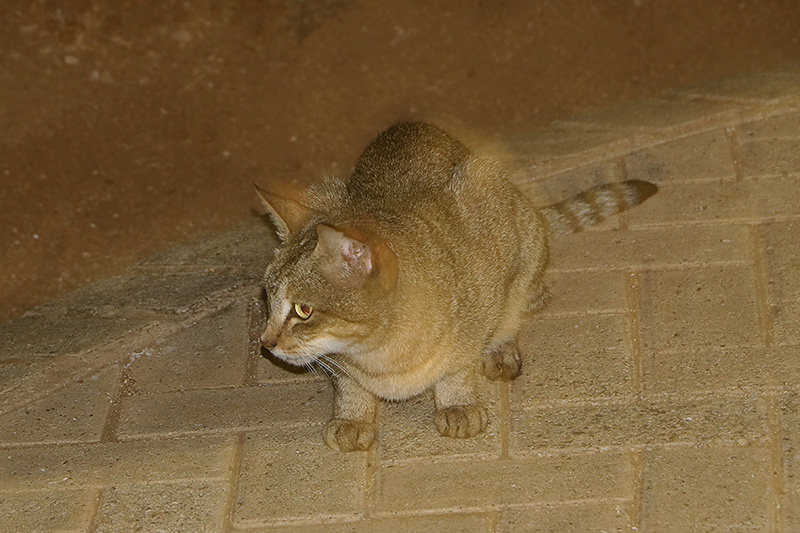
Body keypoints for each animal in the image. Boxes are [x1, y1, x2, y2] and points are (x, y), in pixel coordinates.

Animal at [256, 122, 656, 450]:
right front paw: (352, 416)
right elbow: (348, 383)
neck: (381, 357)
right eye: (268, 299)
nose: (265, 342)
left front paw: (458, 402)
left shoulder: (490, 275)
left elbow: (460, 364)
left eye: (303, 310)